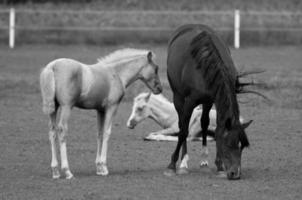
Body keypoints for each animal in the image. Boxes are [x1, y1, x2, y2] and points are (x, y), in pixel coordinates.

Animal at [41, 48, 163, 180]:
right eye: (156, 68)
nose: (159, 89)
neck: (116, 73)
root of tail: (52, 66)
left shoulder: (100, 110)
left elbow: (99, 134)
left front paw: (99, 168)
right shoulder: (111, 107)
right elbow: (106, 133)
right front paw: (104, 167)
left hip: (54, 109)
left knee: (52, 132)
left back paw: (55, 171)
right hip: (66, 107)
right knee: (62, 131)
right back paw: (67, 171)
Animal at [165, 24, 252, 180]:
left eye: (241, 146)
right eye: (228, 144)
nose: (235, 173)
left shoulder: (215, 99)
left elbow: (218, 129)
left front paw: (219, 166)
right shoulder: (189, 102)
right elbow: (183, 131)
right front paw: (172, 165)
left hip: (207, 102)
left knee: (204, 123)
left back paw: (204, 161)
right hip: (178, 97)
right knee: (182, 124)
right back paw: (183, 163)